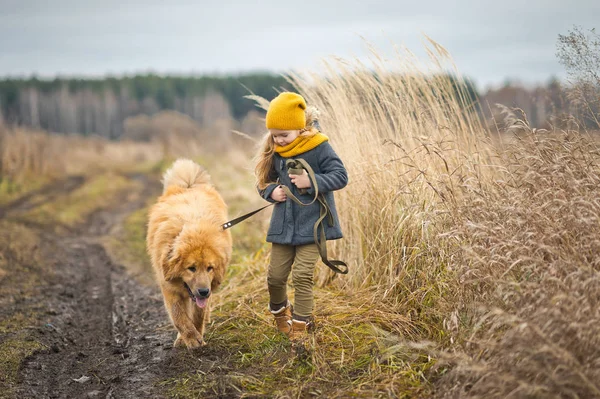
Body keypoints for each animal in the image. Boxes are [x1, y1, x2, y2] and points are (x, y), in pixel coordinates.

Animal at [147, 159, 232, 350]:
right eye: (191, 268)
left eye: (210, 268)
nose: (204, 291)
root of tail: (189, 185)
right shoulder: (169, 288)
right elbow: (179, 317)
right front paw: (189, 338)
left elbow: (197, 315)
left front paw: (197, 335)